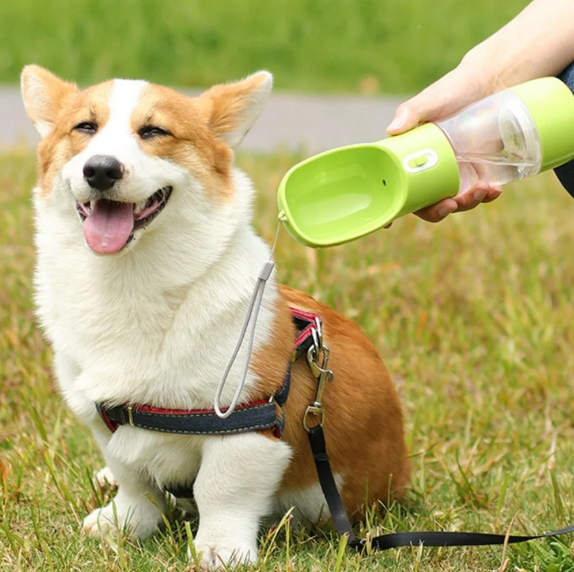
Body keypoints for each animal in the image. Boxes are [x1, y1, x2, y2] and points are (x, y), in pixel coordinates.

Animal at [20, 66, 412, 568]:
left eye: (154, 131)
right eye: (84, 127)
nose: (101, 169)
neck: (130, 282)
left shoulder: (245, 425)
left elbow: (220, 490)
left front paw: (219, 550)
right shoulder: (104, 420)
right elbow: (133, 479)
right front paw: (123, 523)